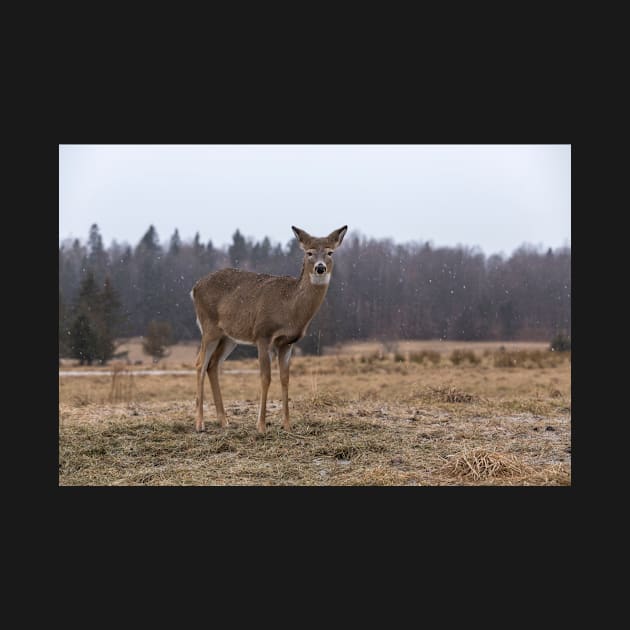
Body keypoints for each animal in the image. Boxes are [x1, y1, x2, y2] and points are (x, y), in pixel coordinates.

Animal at [190, 226, 348, 434]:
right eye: (309, 253)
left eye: (330, 252)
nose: (320, 267)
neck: (290, 309)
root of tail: (194, 288)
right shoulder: (263, 334)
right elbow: (266, 377)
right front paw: (261, 426)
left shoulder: (287, 343)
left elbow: (285, 378)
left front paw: (287, 425)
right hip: (209, 326)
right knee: (200, 363)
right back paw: (200, 423)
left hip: (229, 337)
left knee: (213, 364)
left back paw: (224, 421)